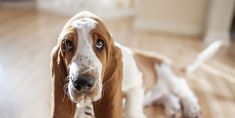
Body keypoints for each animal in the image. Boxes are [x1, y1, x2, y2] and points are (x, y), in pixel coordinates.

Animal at [50, 11, 222, 118]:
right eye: (68, 44)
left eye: (100, 43)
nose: (83, 82)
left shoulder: (136, 83)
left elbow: (131, 107)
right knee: (167, 96)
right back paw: (172, 107)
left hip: (171, 76)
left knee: (188, 95)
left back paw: (192, 109)